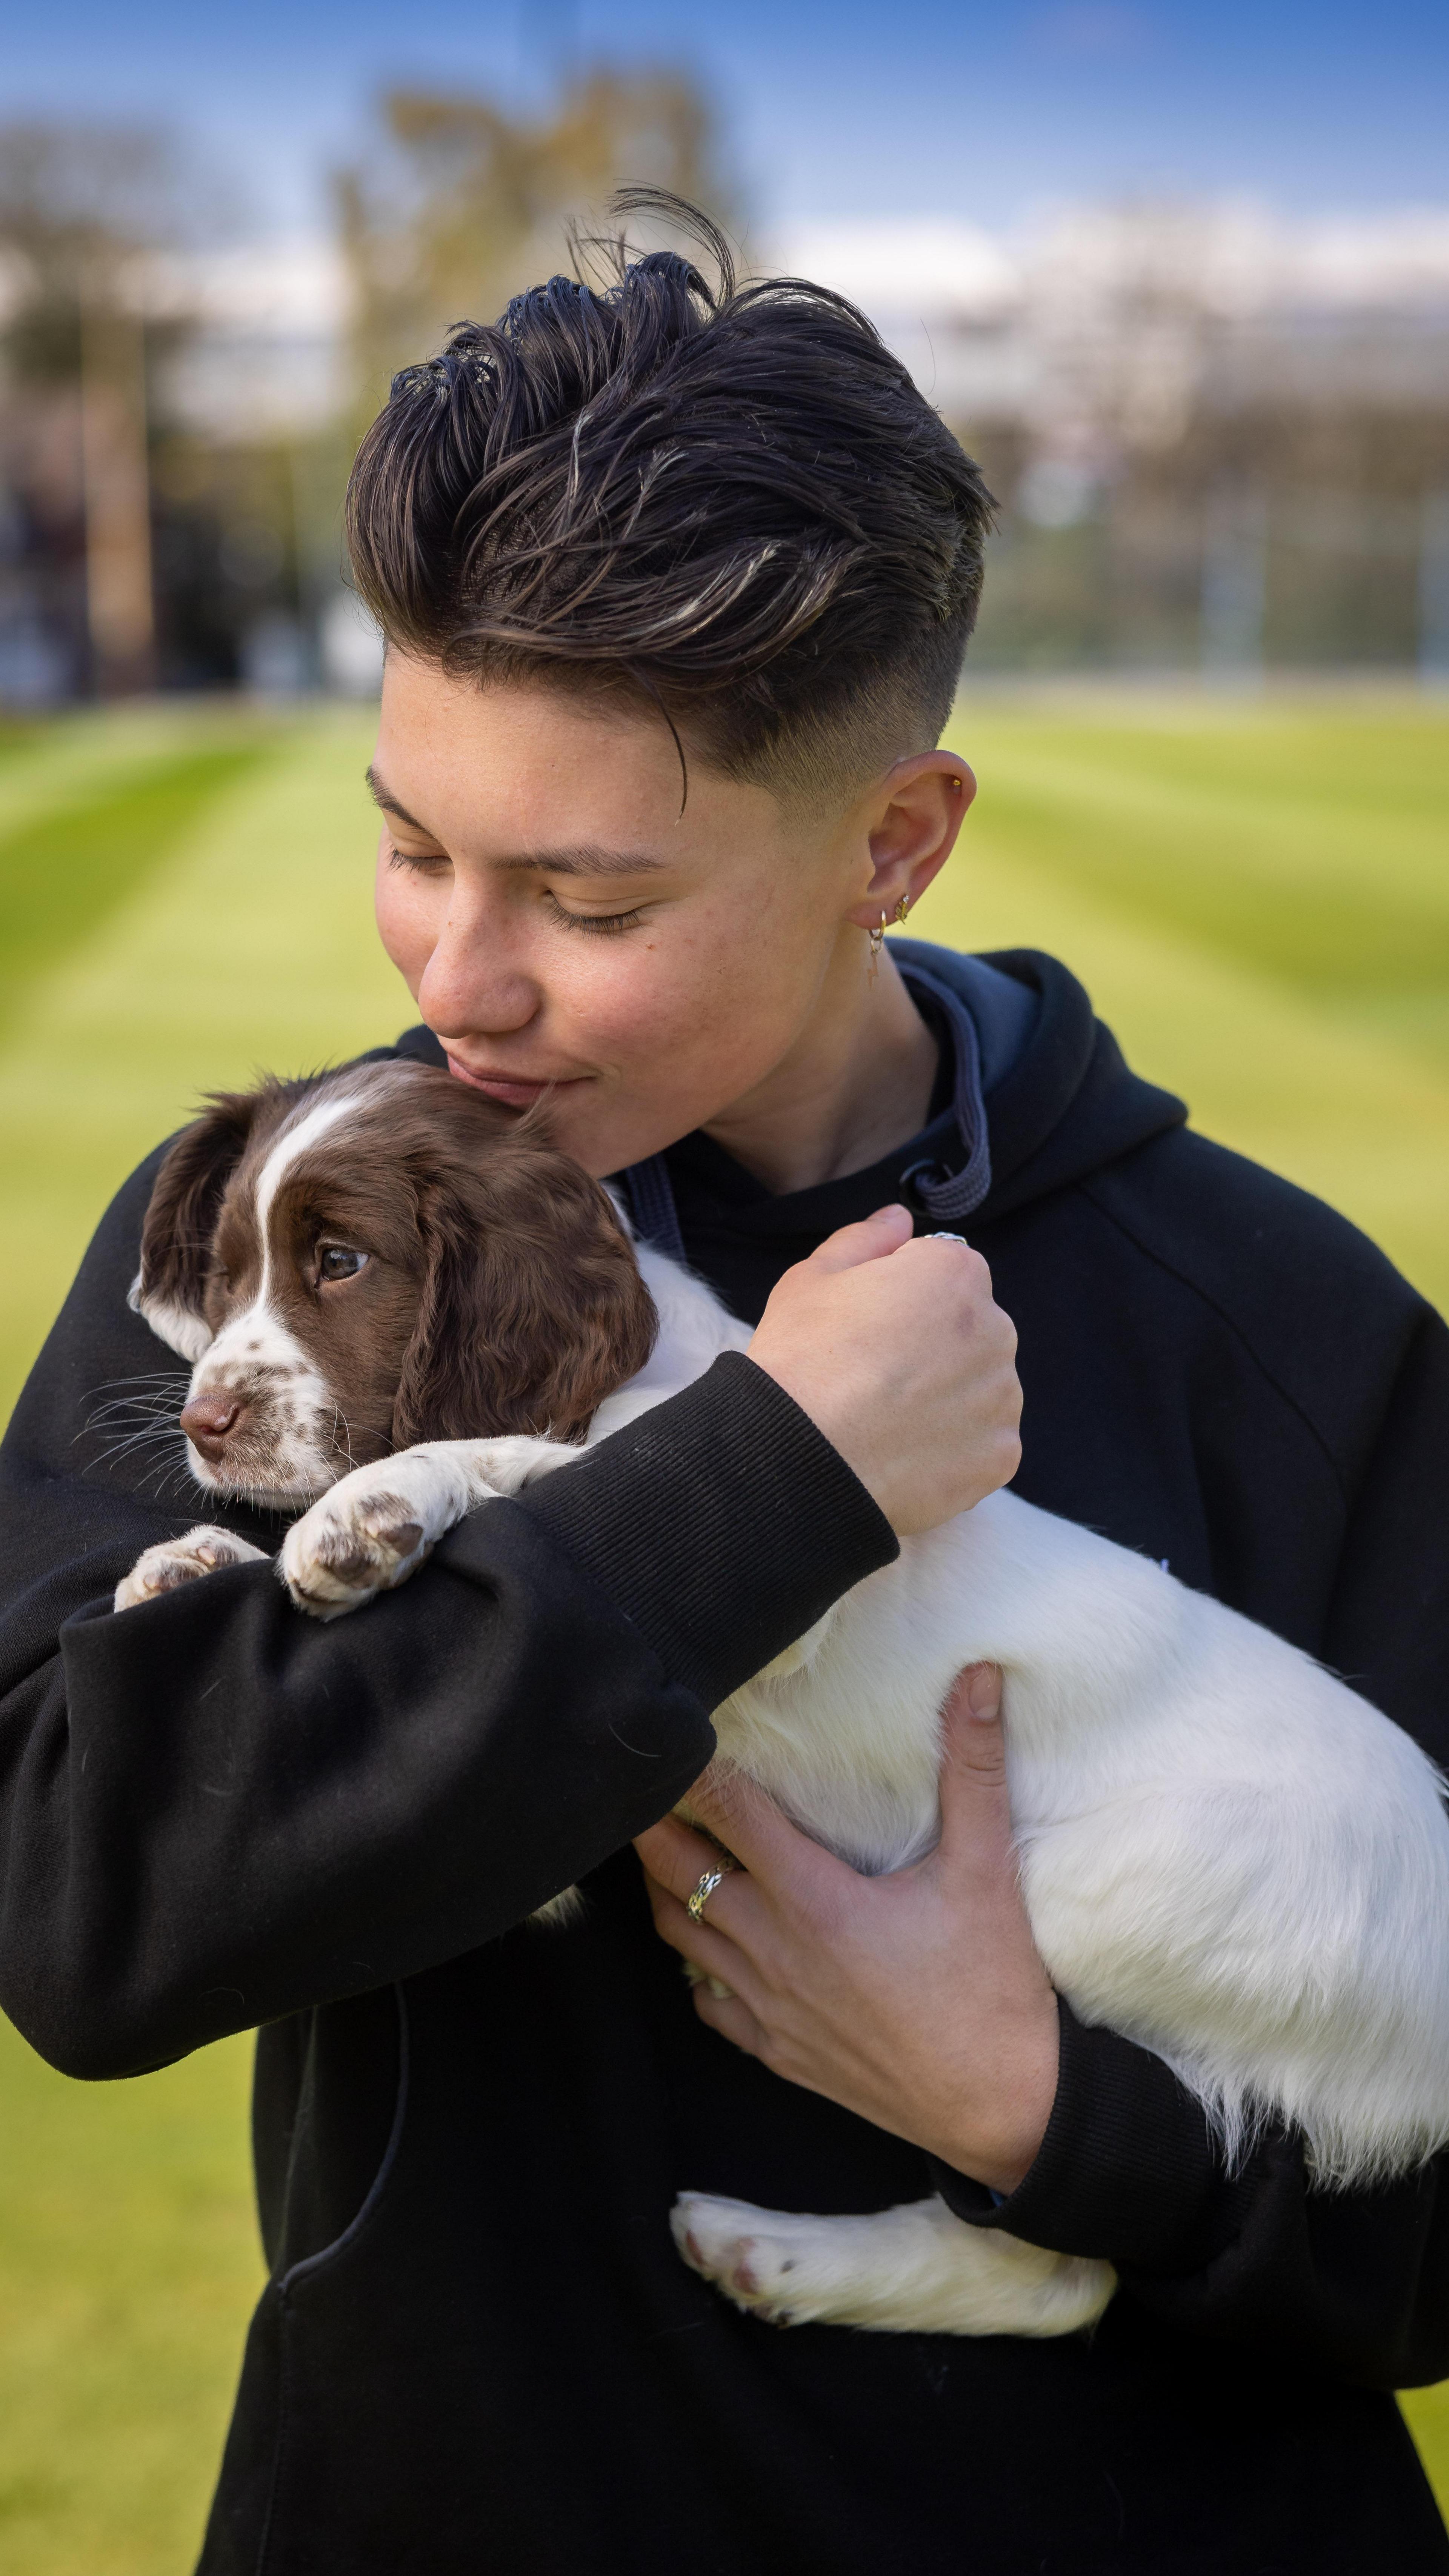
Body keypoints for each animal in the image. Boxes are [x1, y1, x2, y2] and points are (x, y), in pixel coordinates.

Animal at [115, 1061, 652, 1607]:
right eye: (224, 1274)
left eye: (339, 1260)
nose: (202, 1424)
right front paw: (197, 1559)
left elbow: (509, 1443)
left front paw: (366, 1501)